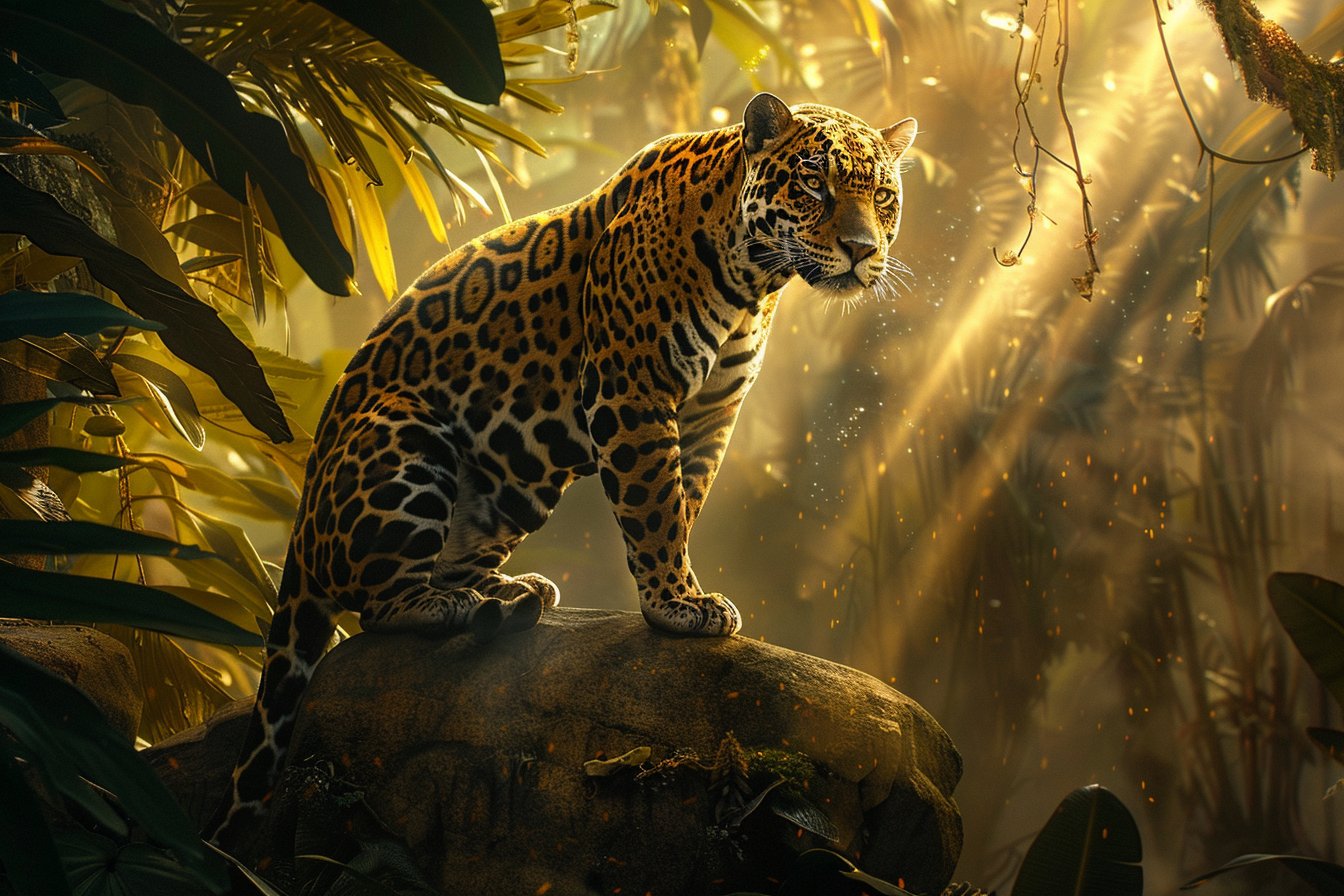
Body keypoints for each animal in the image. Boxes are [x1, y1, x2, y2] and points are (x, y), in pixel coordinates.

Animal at [207, 93, 917, 847]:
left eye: (884, 196)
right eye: (814, 185)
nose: (864, 251)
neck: (752, 279)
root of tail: (300, 528)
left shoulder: (712, 414)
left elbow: (684, 499)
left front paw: (681, 592)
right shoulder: (631, 393)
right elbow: (655, 505)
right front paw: (676, 606)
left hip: (515, 483)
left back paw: (508, 595)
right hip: (406, 439)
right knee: (375, 605)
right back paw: (457, 606)